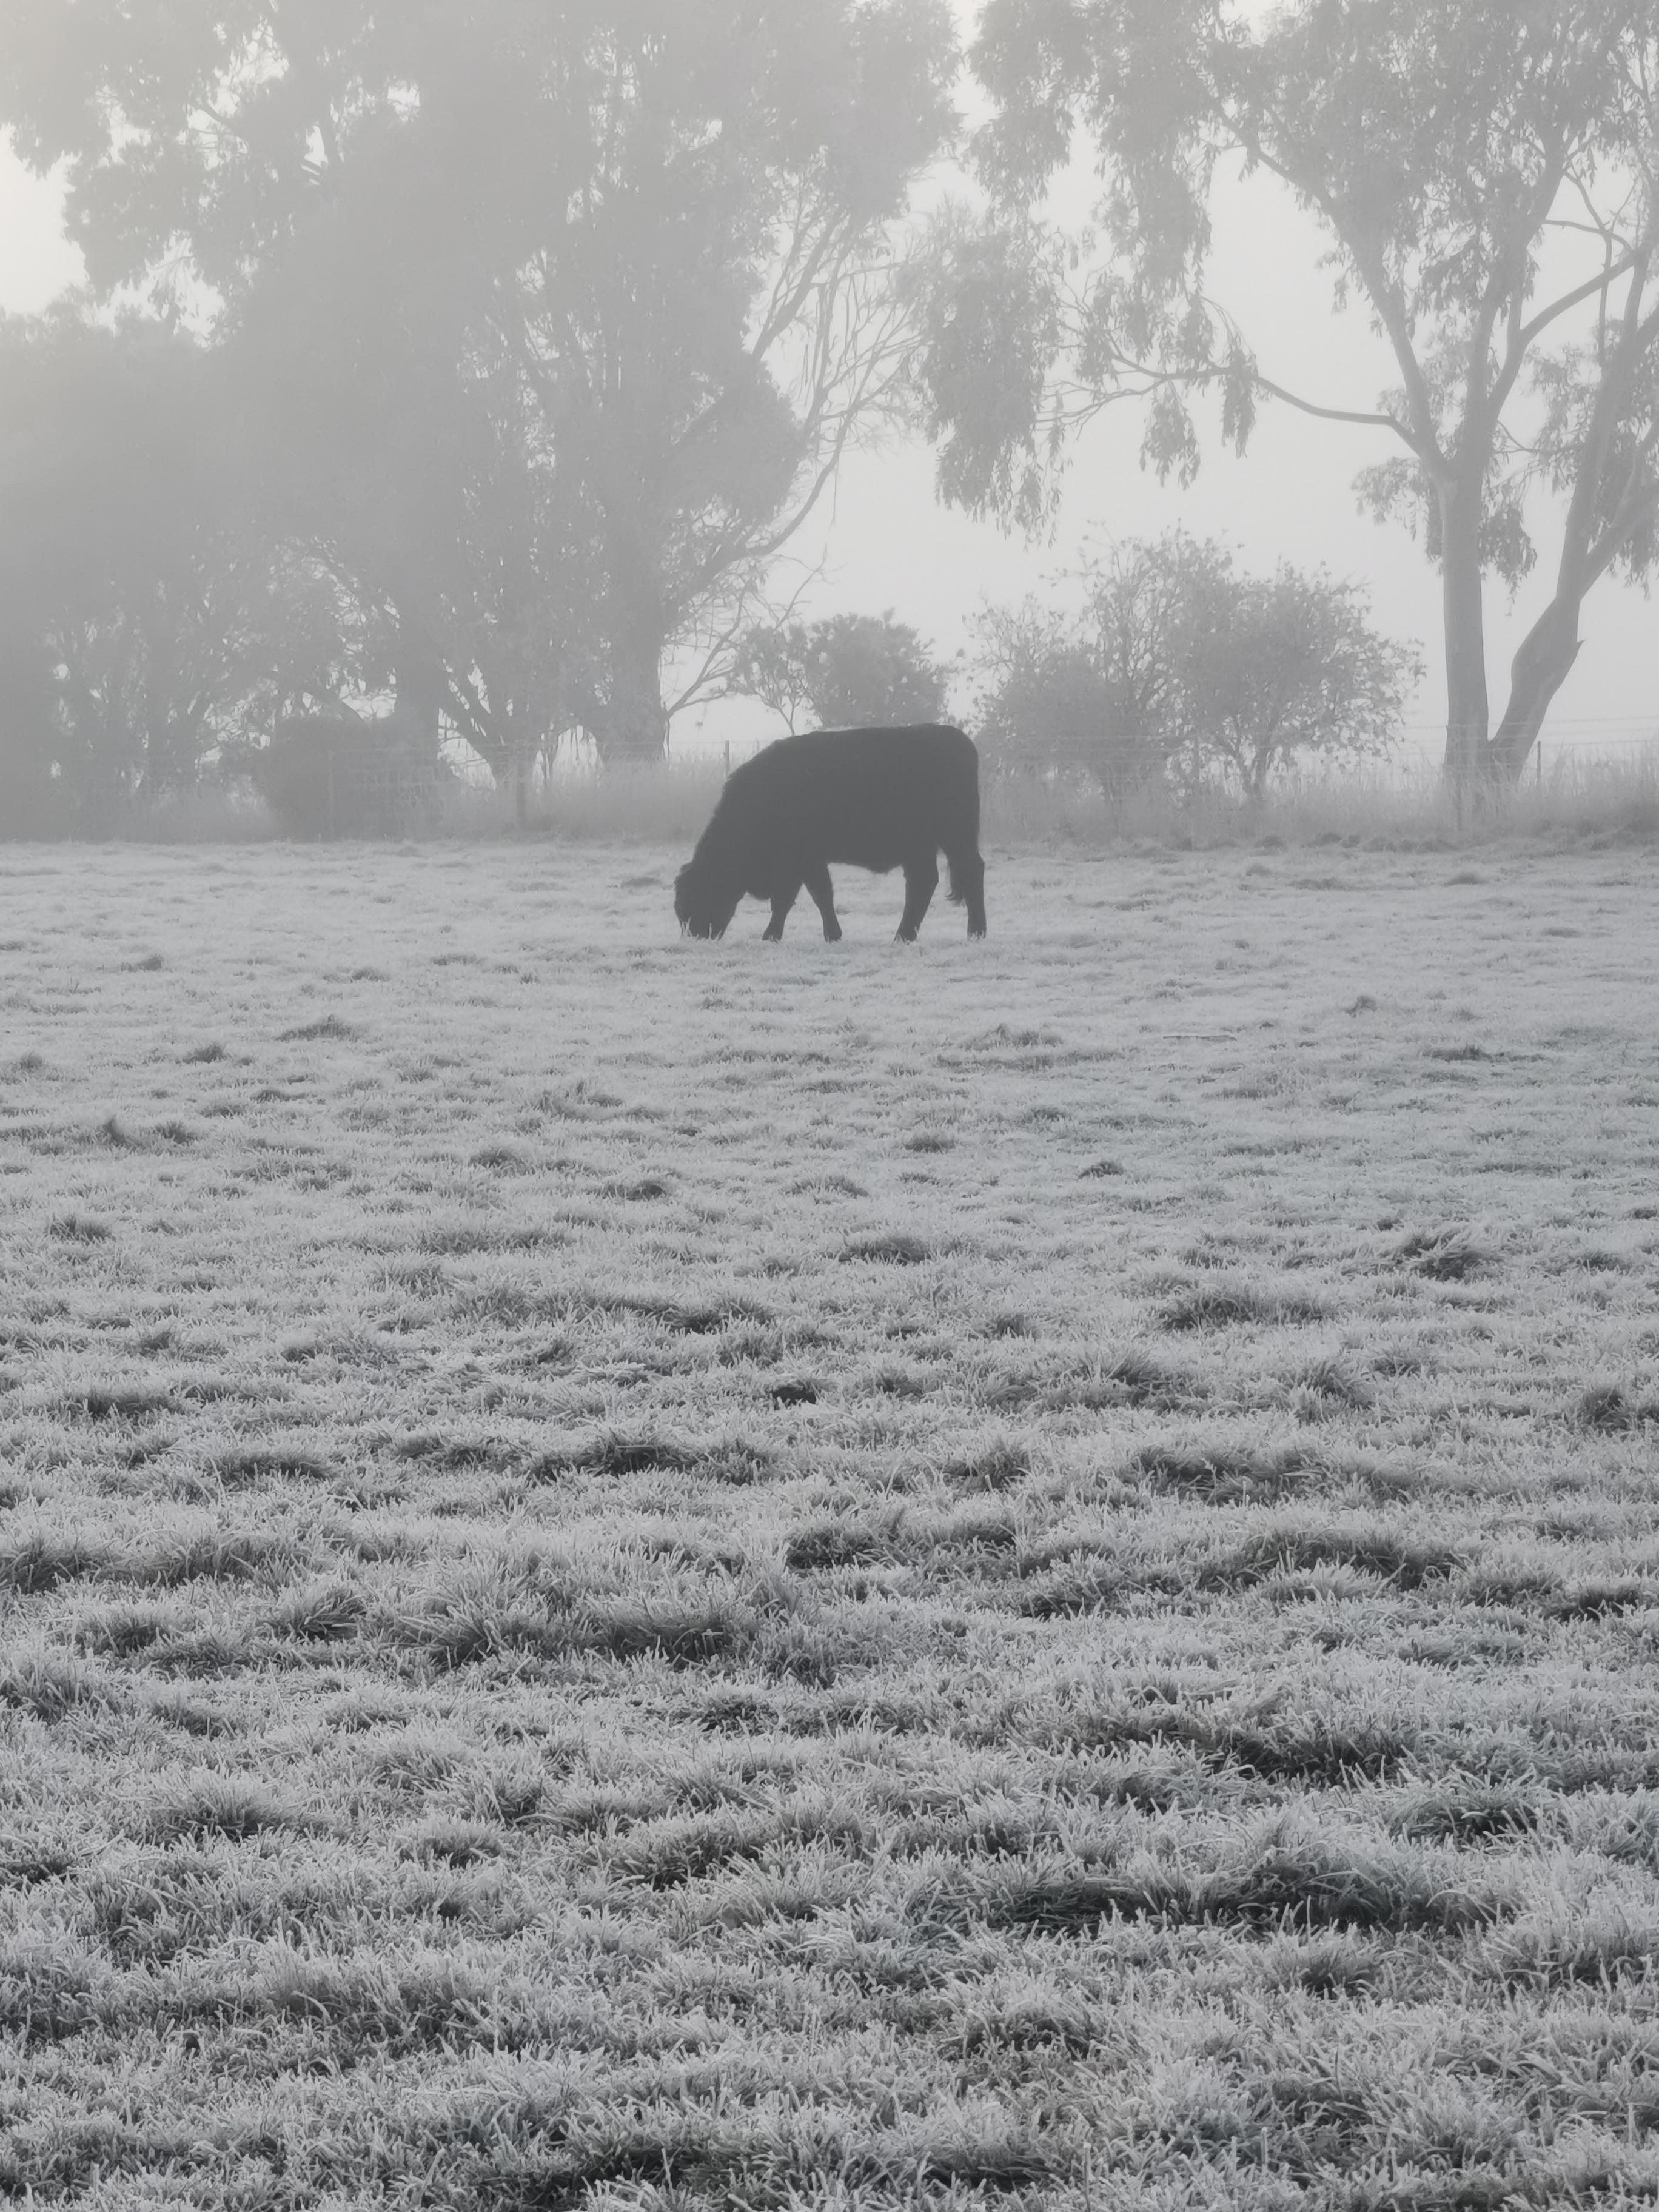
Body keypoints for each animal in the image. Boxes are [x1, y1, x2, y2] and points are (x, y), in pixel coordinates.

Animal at [673, 724, 987, 943]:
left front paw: (777, 936)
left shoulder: (802, 861)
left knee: (969, 872)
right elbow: (807, 897)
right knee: (923, 883)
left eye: (696, 894)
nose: (697, 934)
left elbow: (802, 898)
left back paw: (974, 932)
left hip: (954, 838)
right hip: (921, 847)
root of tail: (956, 739)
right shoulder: (805, 863)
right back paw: (905, 935)